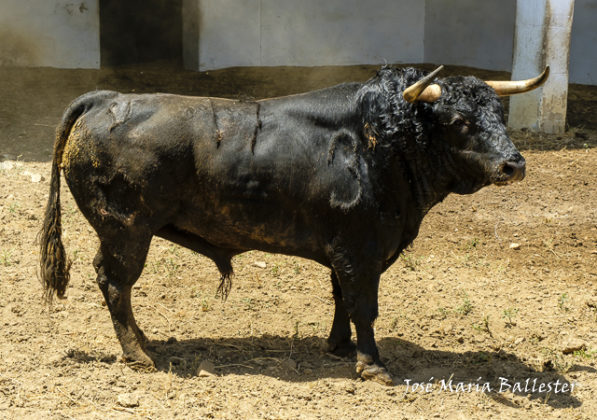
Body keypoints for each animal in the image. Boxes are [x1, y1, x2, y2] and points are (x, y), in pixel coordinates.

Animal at [39, 65, 544, 384]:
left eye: (499, 114)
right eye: (459, 120)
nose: (514, 165)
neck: (382, 142)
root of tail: (107, 99)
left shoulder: (347, 251)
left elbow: (342, 299)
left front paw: (339, 347)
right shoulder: (360, 249)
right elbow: (364, 305)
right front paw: (372, 365)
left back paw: (144, 342)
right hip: (126, 231)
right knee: (114, 283)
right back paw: (140, 353)